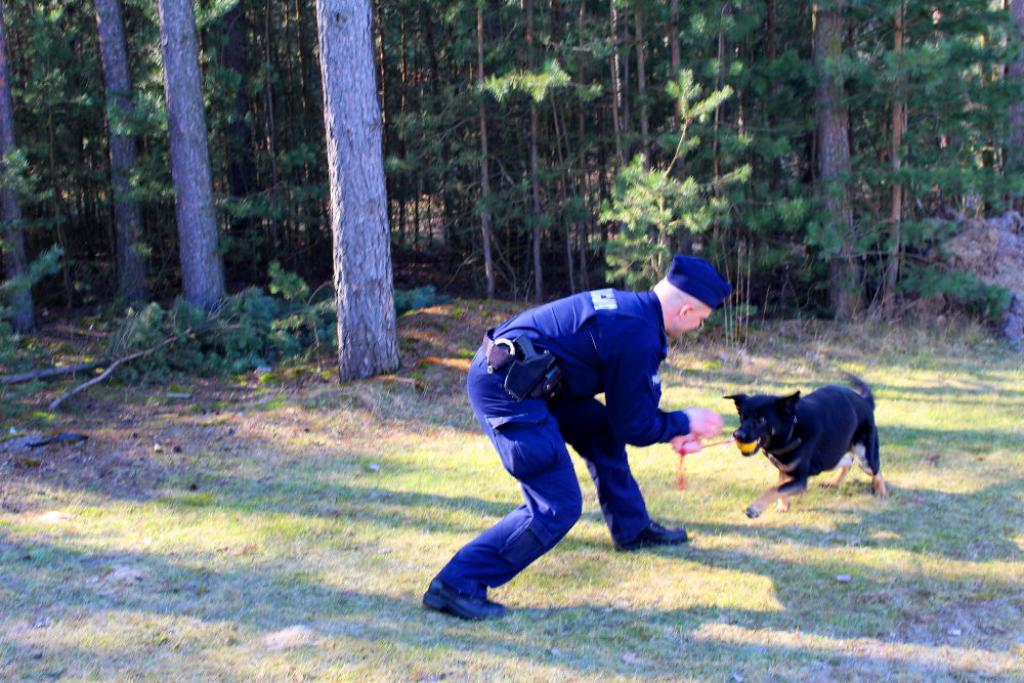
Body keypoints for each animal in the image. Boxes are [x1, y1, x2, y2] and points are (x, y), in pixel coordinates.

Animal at [725, 374, 888, 518]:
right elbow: (780, 485)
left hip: (864, 458)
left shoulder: (800, 479)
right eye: (743, 416)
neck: (792, 429)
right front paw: (784, 506)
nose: (737, 435)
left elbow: (776, 488)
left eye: (761, 419)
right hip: (831, 457)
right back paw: (834, 482)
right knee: (847, 462)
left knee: (876, 471)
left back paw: (881, 493)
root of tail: (865, 402)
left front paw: (754, 508)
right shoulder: (787, 469)